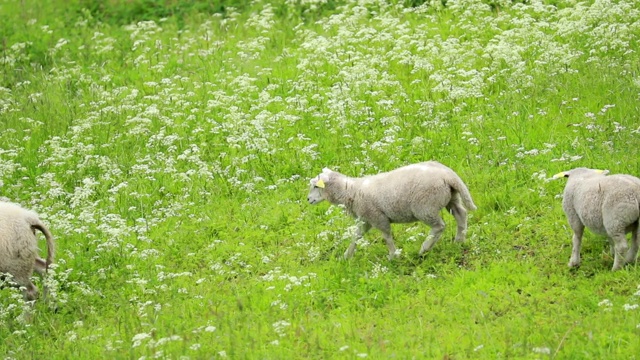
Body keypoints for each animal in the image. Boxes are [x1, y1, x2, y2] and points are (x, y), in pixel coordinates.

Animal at [308, 162, 478, 260]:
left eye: (316, 186)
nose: (308, 200)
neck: (351, 191)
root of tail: (448, 175)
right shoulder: (366, 219)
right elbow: (356, 237)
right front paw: (346, 256)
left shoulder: (377, 217)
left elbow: (386, 237)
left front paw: (393, 255)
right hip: (451, 198)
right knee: (461, 214)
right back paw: (459, 240)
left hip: (425, 206)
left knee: (439, 227)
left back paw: (424, 249)